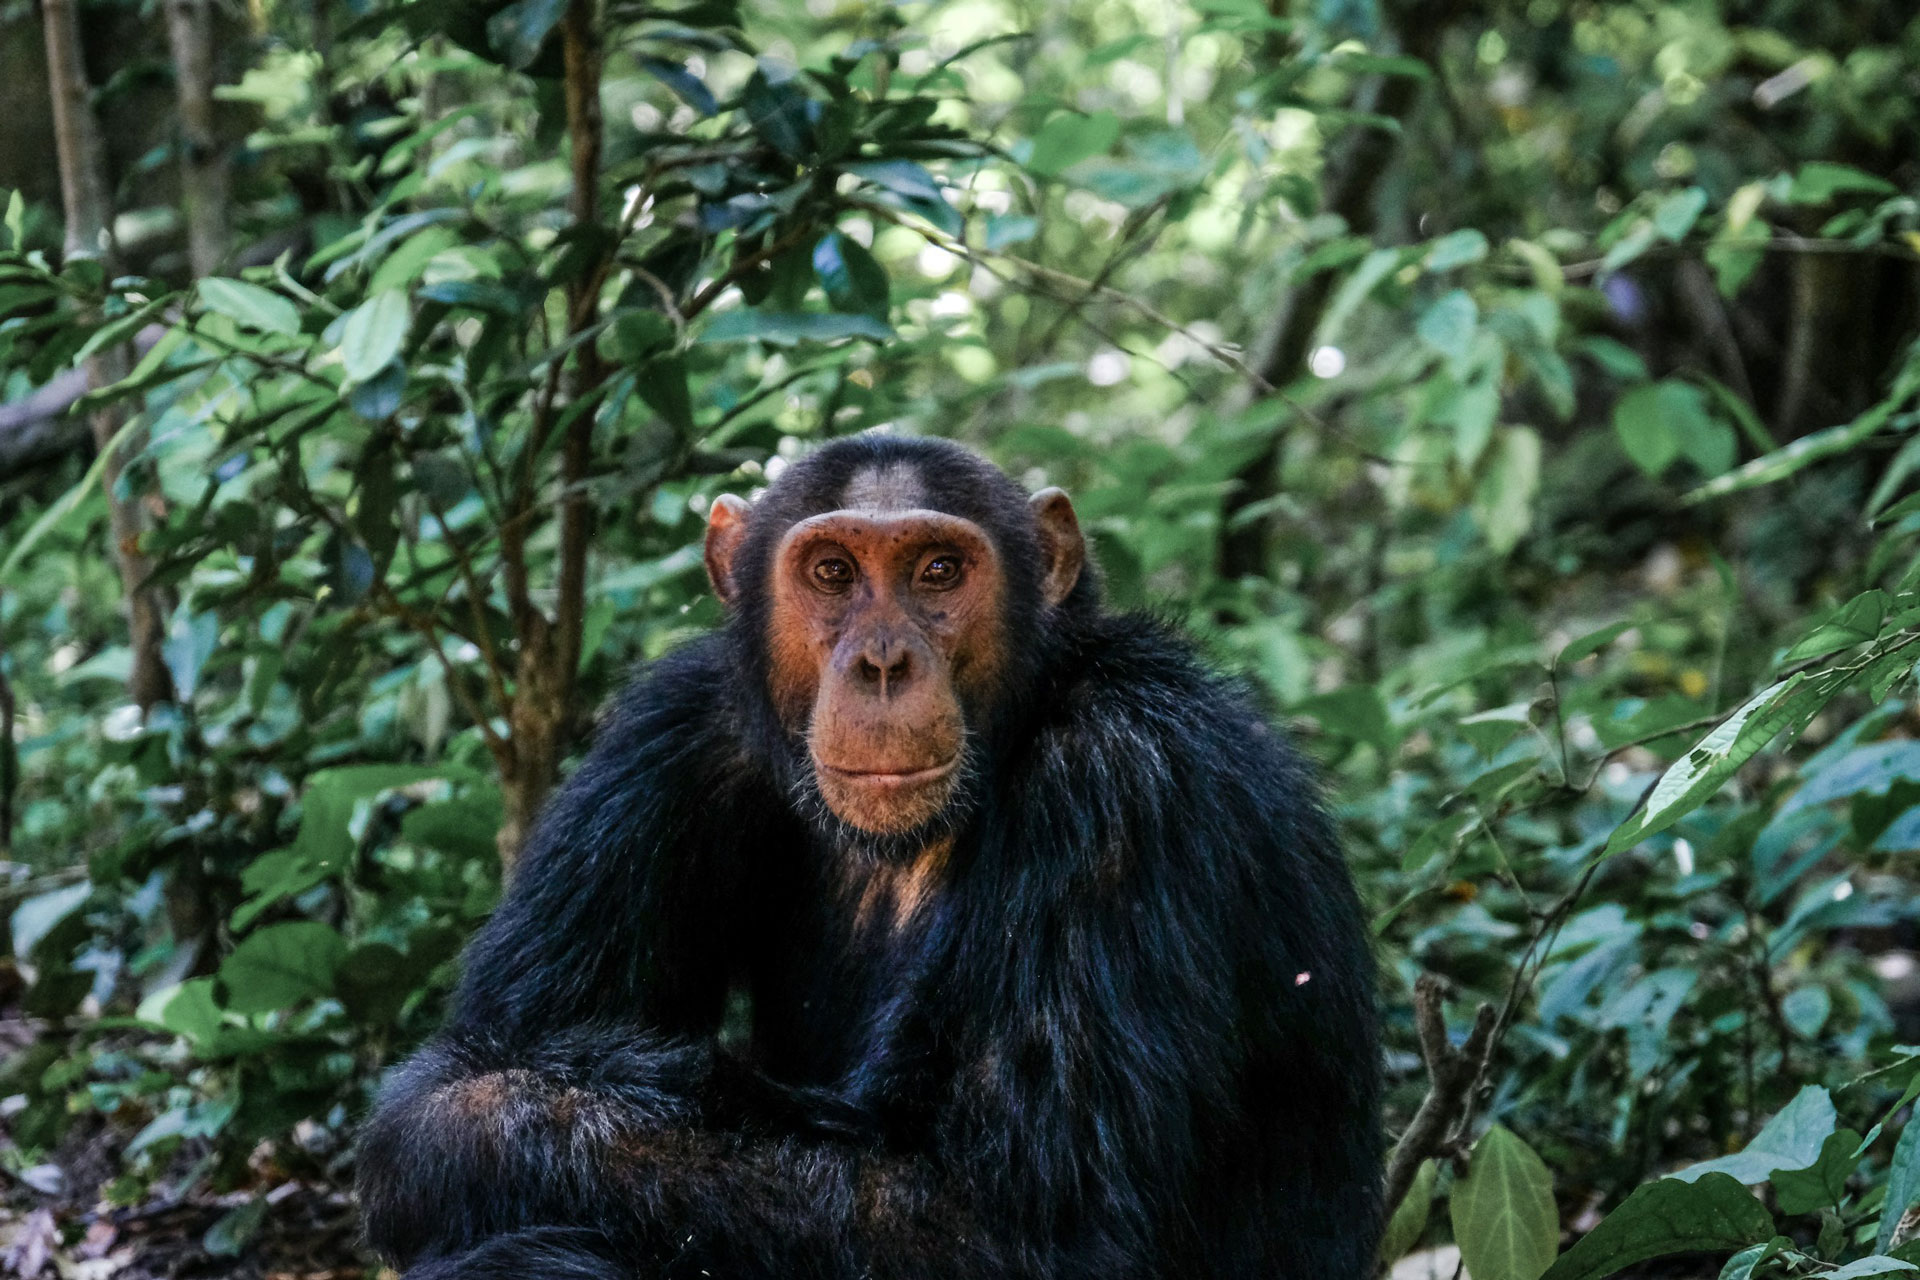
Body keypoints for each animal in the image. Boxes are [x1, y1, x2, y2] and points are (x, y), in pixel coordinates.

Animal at [357, 433, 1382, 1280]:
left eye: (939, 570)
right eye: (832, 571)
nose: (883, 662)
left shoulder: (1125, 781)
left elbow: (1014, 1220)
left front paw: (483, 1127)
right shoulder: (666, 738)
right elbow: (499, 1033)